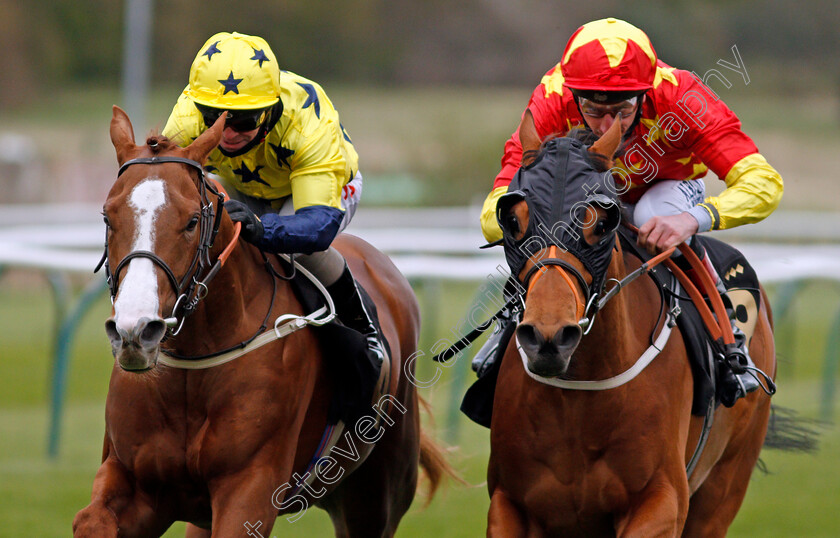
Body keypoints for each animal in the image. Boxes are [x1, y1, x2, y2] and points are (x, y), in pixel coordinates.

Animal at [74, 105, 446, 536]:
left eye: (191, 221)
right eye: (107, 216)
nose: (135, 331)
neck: (195, 366)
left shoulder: (249, 488)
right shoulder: (136, 480)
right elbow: (91, 520)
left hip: (375, 496)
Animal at [486, 122, 776, 536]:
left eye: (600, 222)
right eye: (513, 221)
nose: (548, 338)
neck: (580, 396)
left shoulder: (663, 499)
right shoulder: (509, 502)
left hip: (725, 485)